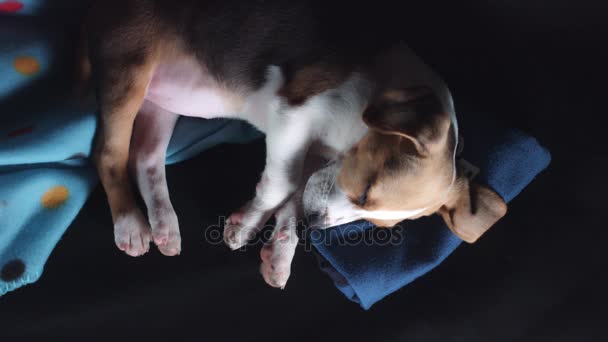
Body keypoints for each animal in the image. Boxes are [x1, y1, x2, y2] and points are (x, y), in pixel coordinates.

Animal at [83, 0, 506, 288]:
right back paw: (131, 225)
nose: (317, 225)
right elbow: (282, 186)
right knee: (108, 154)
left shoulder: (314, 157)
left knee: (144, 159)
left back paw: (164, 224)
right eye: (366, 191)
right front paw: (244, 228)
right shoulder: (292, 119)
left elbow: (293, 199)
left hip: (162, 104)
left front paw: (276, 248)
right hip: (130, 66)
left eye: (373, 220)